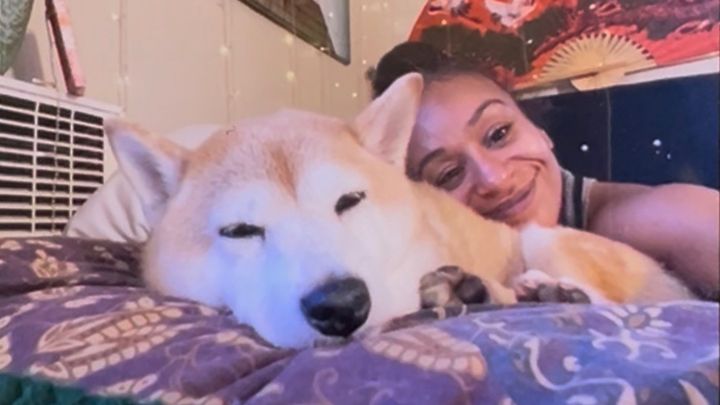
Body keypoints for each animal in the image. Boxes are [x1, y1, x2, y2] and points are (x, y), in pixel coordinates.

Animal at [104, 73, 693, 348]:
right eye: (241, 230)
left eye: (349, 201)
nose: (341, 306)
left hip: (538, 237)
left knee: (605, 301)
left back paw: (539, 292)